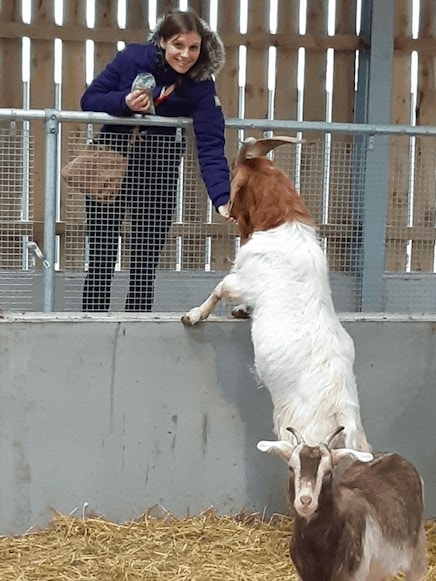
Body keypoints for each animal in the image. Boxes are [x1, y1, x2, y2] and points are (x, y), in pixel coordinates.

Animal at [181, 137, 372, 454]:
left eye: (233, 175)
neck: (284, 222)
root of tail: (342, 414)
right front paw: (242, 312)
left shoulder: (244, 280)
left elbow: (221, 288)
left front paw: (194, 315)